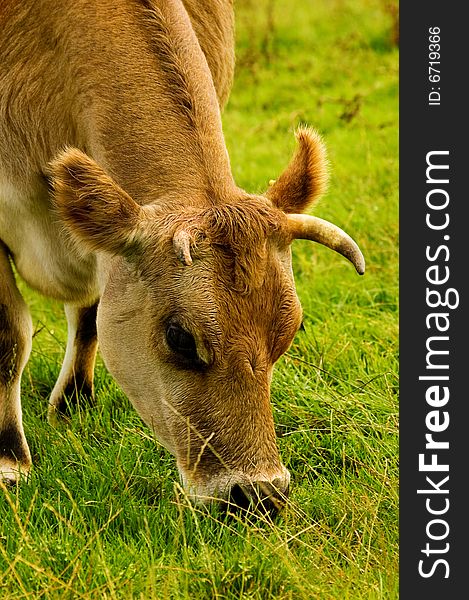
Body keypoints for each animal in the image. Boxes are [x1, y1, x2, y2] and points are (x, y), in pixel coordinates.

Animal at [0, 1, 364, 516]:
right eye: (180, 337)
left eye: (290, 331)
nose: (260, 494)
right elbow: (9, 336)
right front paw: (9, 459)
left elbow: (91, 316)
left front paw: (71, 406)